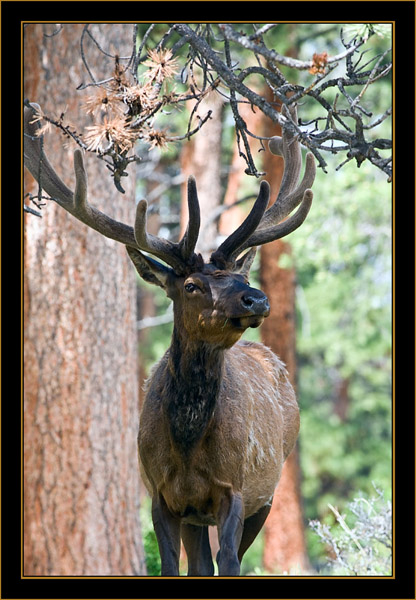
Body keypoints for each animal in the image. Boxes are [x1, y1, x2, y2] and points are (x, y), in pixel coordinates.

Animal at [24, 102, 316, 576]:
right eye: (192, 285)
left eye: (241, 277)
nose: (256, 298)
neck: (187, 446)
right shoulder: (160, 494)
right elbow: (169, 564)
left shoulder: (235, 488)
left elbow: (229, 561)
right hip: (199, 515)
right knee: (199, 564)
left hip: (268, 491)